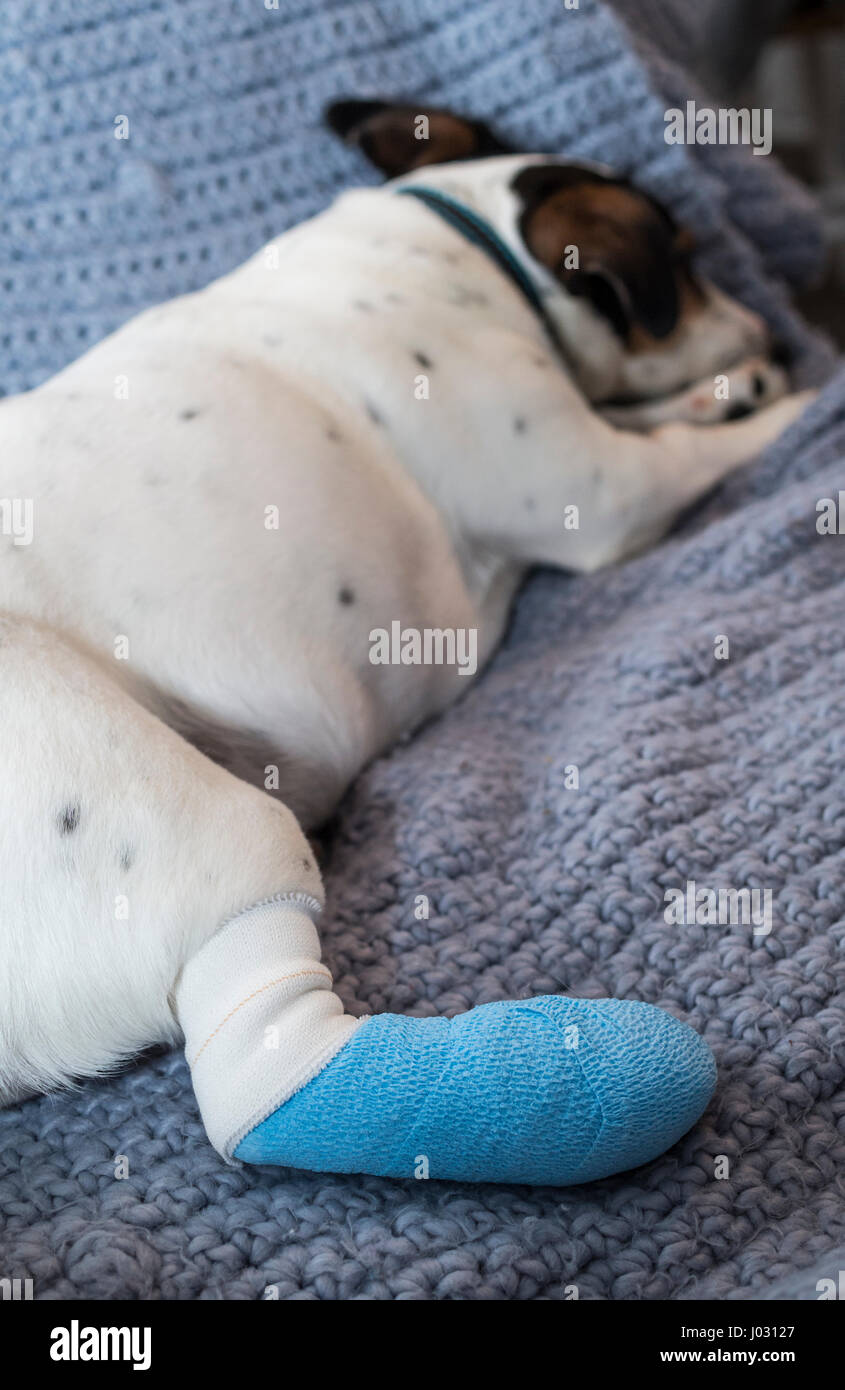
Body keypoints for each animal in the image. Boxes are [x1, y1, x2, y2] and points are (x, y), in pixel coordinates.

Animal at [0, 100, 817, 1184]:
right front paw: (788, 402)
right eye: (683, 261)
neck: (462, 235)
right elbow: (694, 447)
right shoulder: (605, 491)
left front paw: (732, 388)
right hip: (147, 793)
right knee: (264, 1053)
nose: (770, 332)